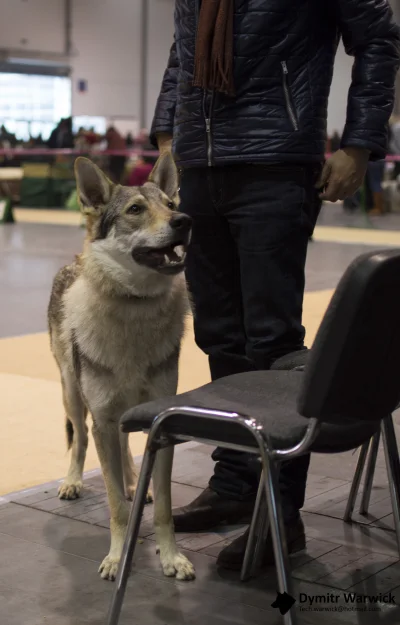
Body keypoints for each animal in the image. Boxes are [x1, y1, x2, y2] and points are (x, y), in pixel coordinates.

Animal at [48, 152, 195, 580]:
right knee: (79, 439)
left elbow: (163, 506)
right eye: (135, 210)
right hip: (74, 397)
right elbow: (114, 507)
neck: (134, 310)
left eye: (171, 204)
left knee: (127, 448)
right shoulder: (103, 418)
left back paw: (134, 485)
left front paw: (171, 557)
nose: (185, 221)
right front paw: (116, 558)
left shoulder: (162, 420)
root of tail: (73, 261)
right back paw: (73, 482)